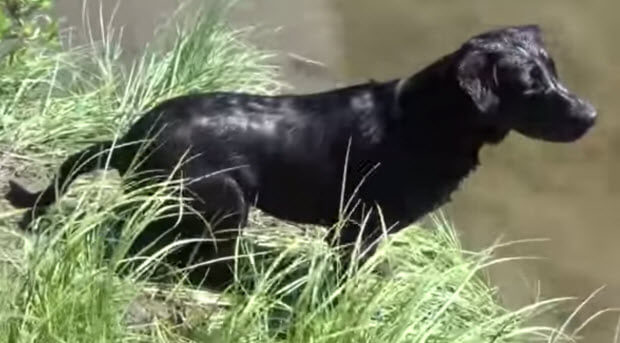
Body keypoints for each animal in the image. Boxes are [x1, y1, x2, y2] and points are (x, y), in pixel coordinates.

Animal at [3, 24, 596, 288]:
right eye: (531, 87)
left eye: (555, 72)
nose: (590, 116)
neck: (424, 122)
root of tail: (133, 134)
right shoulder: (357, 228)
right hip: (224, 199)